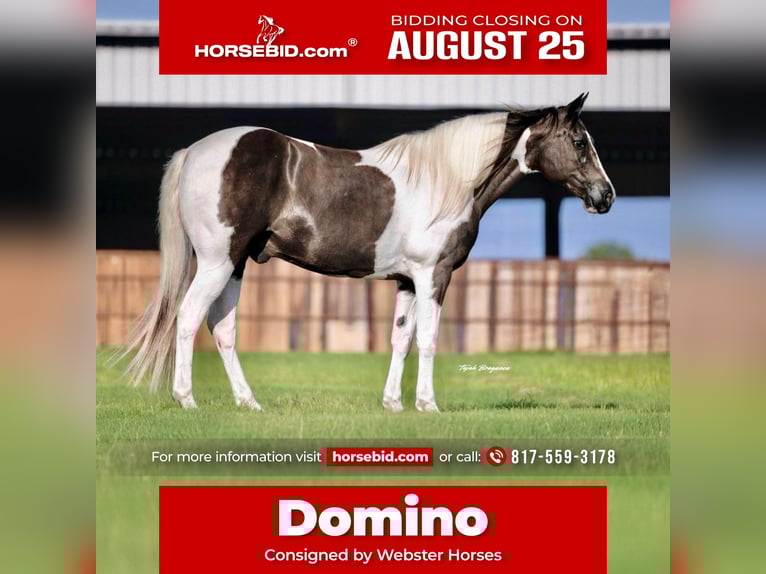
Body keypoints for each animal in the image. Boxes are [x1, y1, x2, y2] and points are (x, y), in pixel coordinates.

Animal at [123, 93, 614, 412]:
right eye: (579, 142)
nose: (605, 196)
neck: (448, 180)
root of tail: (195, 151)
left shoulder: (407, 281)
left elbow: (401, 339)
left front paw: (394, 404)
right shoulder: (434, 276)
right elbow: (428, 339)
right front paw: (428, 405)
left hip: (236, 264)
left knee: (222, 328)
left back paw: (248, 402)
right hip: (216, 262)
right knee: (188, 319)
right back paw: (187, 400)